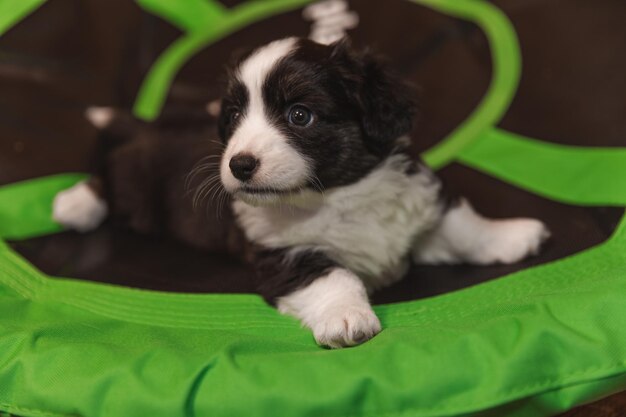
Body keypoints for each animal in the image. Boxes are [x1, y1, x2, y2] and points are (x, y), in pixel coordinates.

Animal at [52, 36, 544, 348]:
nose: (239, 164)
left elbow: (462, 225)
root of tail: (152, 126)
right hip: (138, 187)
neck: (336, 195)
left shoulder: (418, 199)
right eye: (234, 117)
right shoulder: (282, 256)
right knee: (109, 176)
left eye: (300, 115)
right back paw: (75, 203)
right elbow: (334, 275)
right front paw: (348, 317)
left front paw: (510, 236)